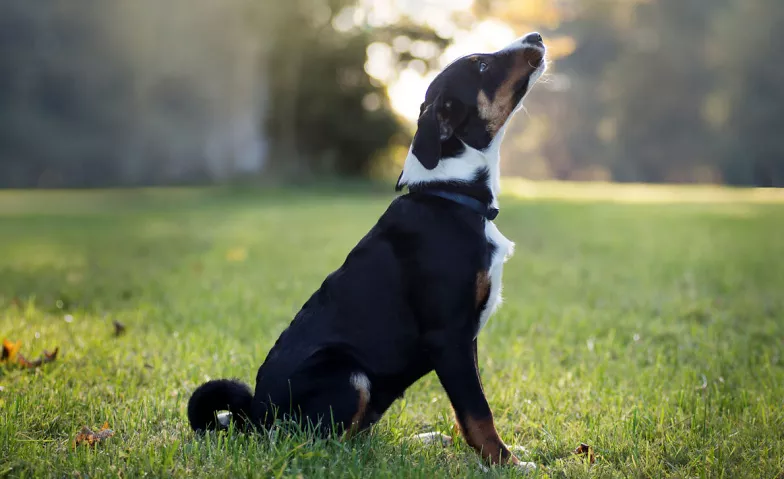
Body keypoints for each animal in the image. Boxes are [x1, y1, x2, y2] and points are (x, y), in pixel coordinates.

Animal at [188, 31, 544, 470]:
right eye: (480, 65)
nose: (536, 37)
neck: (451, 192)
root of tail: (256, 416)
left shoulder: (467, 339)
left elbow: (468, 411)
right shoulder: (449, 337)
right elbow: (478, 413)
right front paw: (507, 464)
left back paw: (424, 439)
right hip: (348, 374)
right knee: (321, 444)